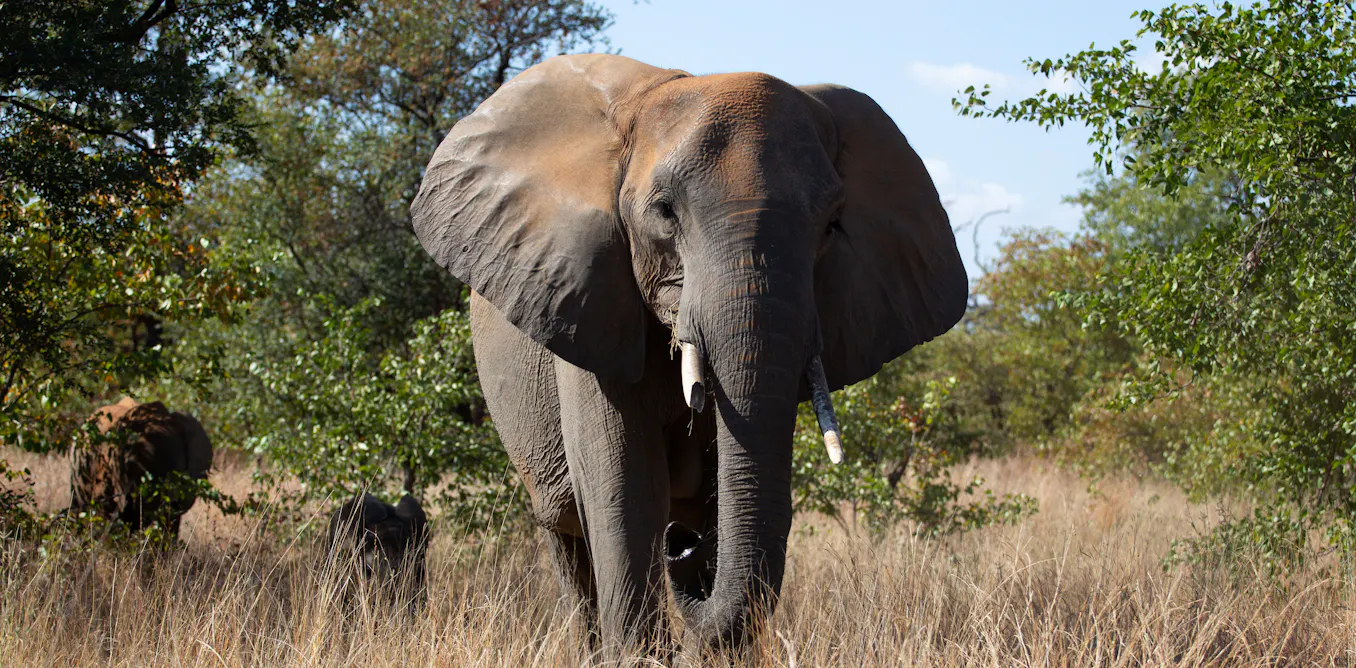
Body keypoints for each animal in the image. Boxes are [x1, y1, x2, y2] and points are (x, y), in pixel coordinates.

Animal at [411, 54, 967, 654]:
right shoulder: (588, 302)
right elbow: (625, 487)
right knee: (566, 533)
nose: (684, 545)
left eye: (832, 226)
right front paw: (641, 654)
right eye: (664, 212)